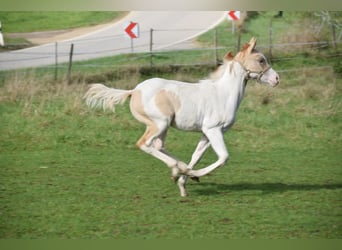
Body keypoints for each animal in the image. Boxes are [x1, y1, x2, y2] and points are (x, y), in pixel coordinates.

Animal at [84, 37, 280, 197]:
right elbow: (223, 157)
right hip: (160, 123)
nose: (277, 79)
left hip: (162, 126)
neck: (223, 94)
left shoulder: (207, 133)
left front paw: (184, 184)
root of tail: (134, 91)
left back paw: (179, 169)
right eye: (261, 60)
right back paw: (176, 168)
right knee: (144, 144)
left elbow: (196, 156)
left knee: (158, 146)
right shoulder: (213, 129)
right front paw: (192, 175)